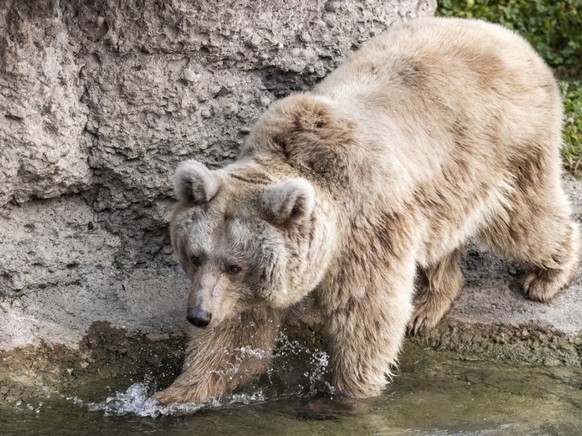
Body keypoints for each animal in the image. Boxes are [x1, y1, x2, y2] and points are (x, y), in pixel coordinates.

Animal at [153, 17, 580, 406]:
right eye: (195, 256)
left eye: (234, 265)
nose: (197, 315)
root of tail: (511, 38)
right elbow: (237, 333)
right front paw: (174, 393)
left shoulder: (366, 225)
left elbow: (366, 314)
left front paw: (350, 393)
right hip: (446, 187)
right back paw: (427, 306)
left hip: (504, 146)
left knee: (523, 220)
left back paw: (547, 276)